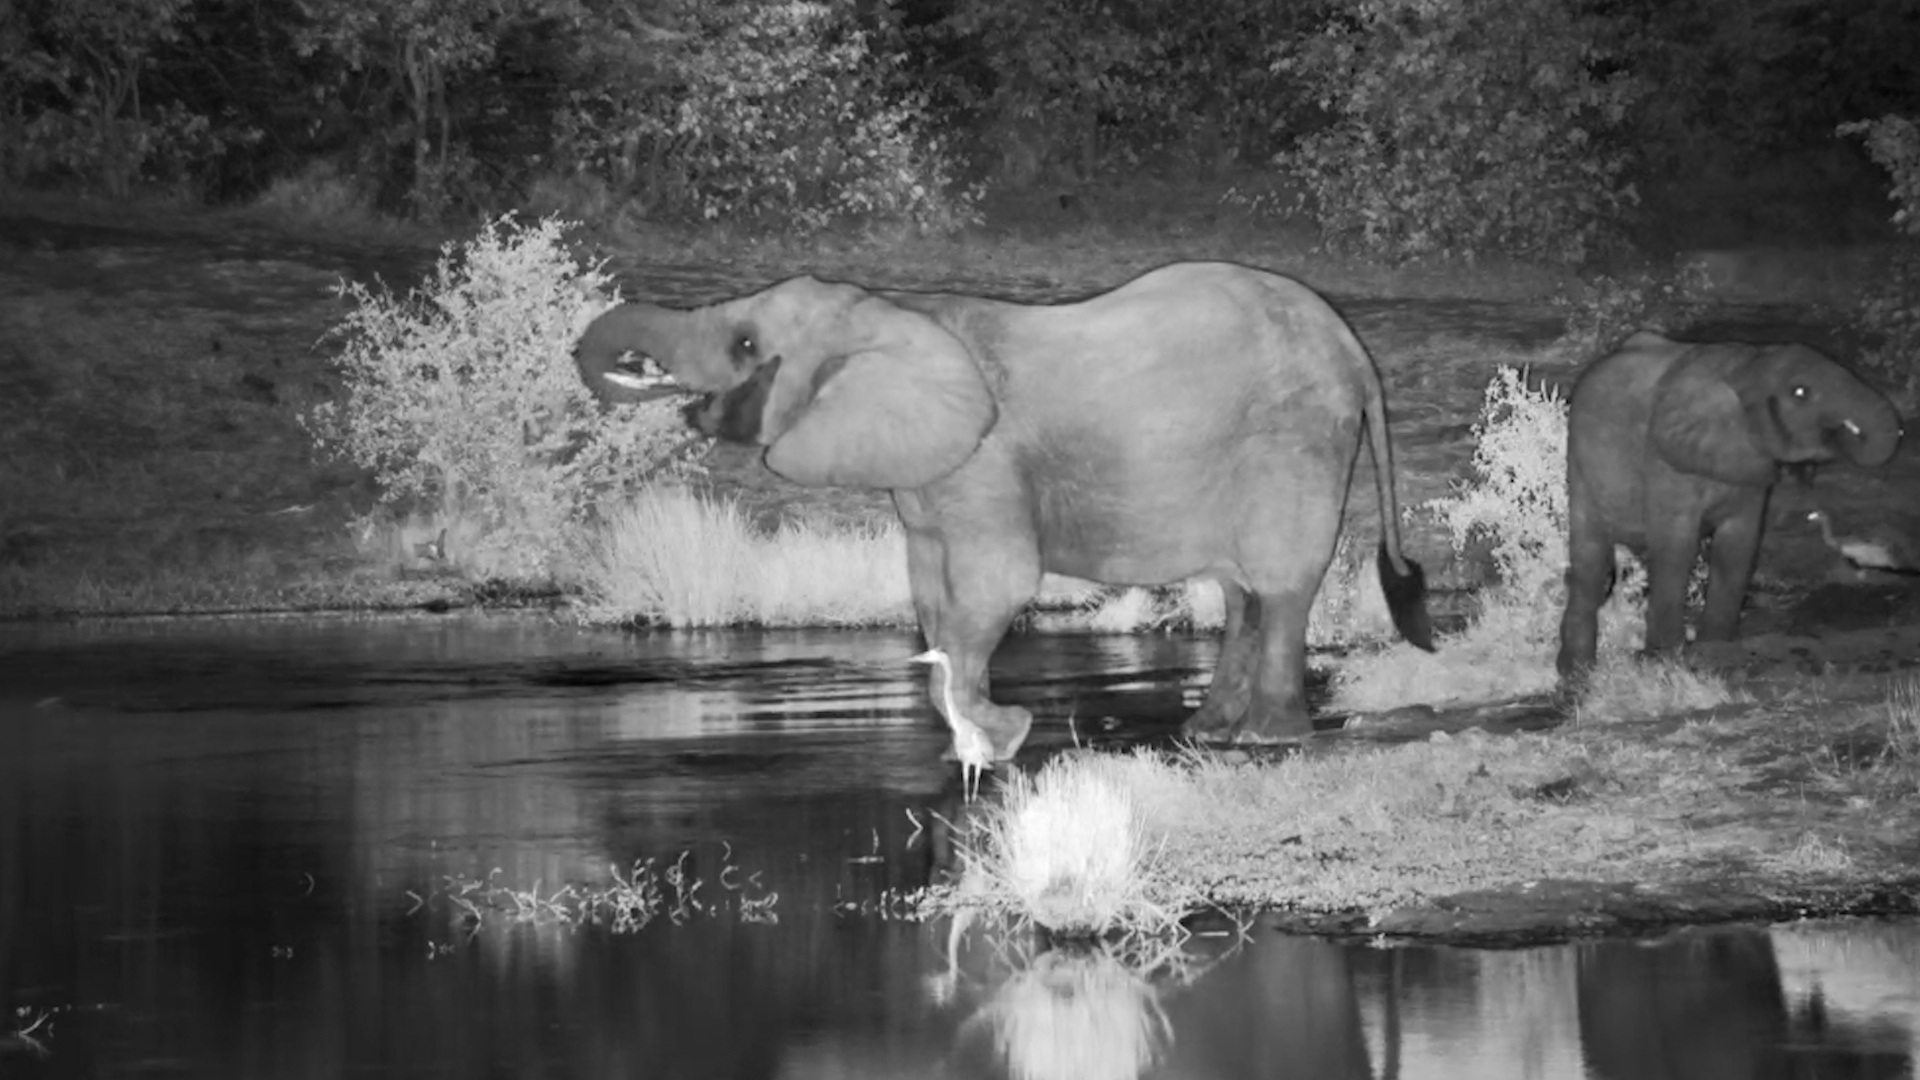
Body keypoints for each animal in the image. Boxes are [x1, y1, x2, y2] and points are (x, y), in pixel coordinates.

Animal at [575, 261, 1435, 753]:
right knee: (1240, 590)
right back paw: (1206, 730)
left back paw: (1266, 738)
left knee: (1281, 583)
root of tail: (1354, 349)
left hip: (1295, 441)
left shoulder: (985, 461)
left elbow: (999, 586)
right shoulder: (927, 480)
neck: (889, 314)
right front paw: (979, 737)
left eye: (747, 346)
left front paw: (1007, 736)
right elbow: (932, 596)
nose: (629, 366)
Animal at [1556, 330, 1903, 680]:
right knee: (1591, 564)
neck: (1746, 367)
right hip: (1580, 467)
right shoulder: (1665, 457)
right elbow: (1677, 546)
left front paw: (1715, 649)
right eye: (1800, 392)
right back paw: (1577, 674)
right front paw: (1664, 657)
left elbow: (1738, 545)